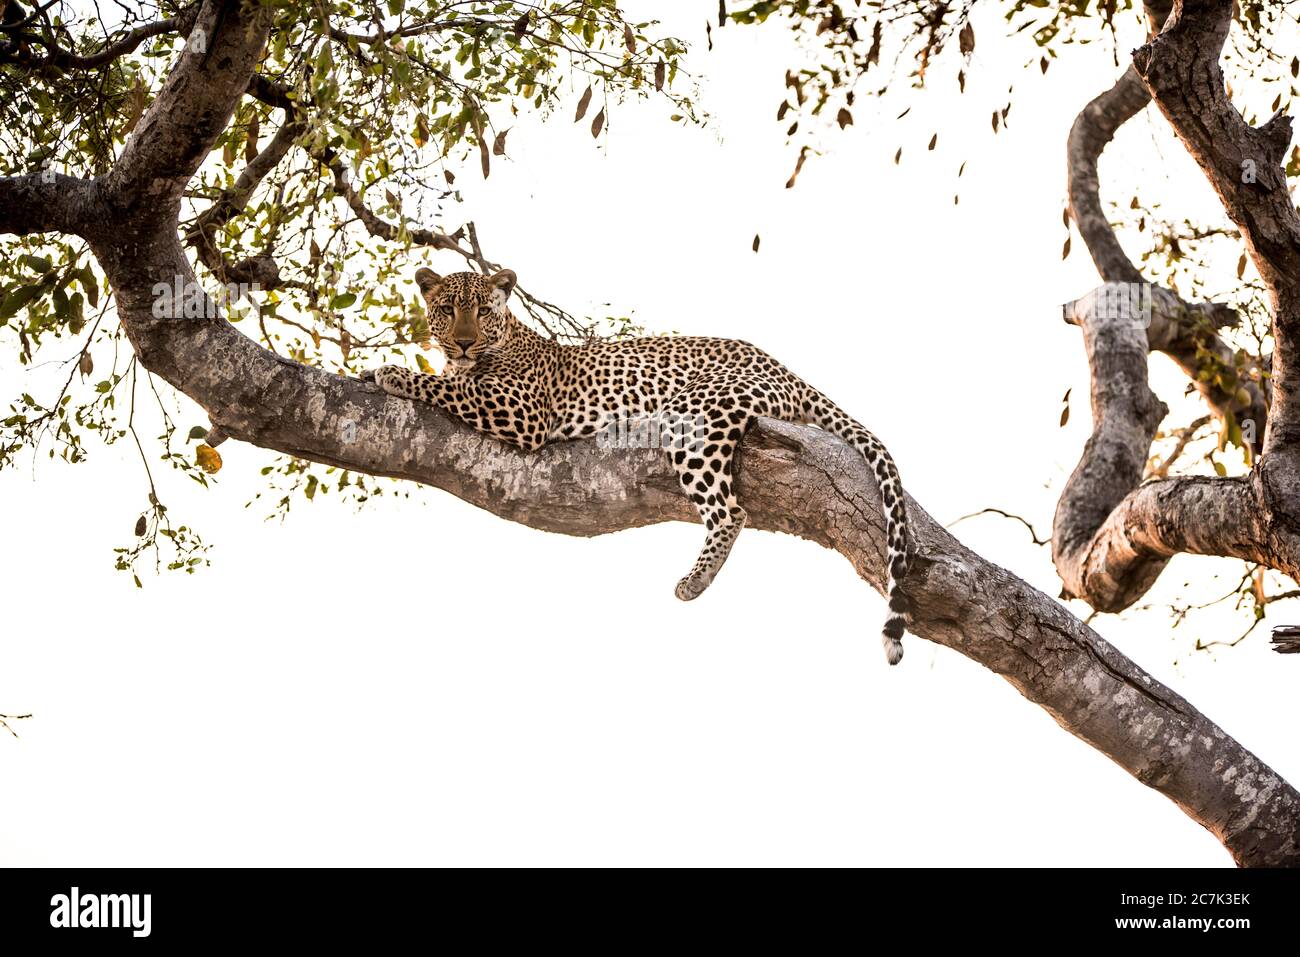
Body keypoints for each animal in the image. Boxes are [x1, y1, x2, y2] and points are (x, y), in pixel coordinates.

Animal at [362, 267, 912, 664]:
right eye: (447, 309)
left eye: (480, 310)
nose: (462, 342)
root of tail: (786, 369)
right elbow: (451, 380)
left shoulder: (521, 409)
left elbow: (447, 387)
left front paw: (390, 372)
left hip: (695, 415)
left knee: (730, 512)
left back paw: (694, 581)